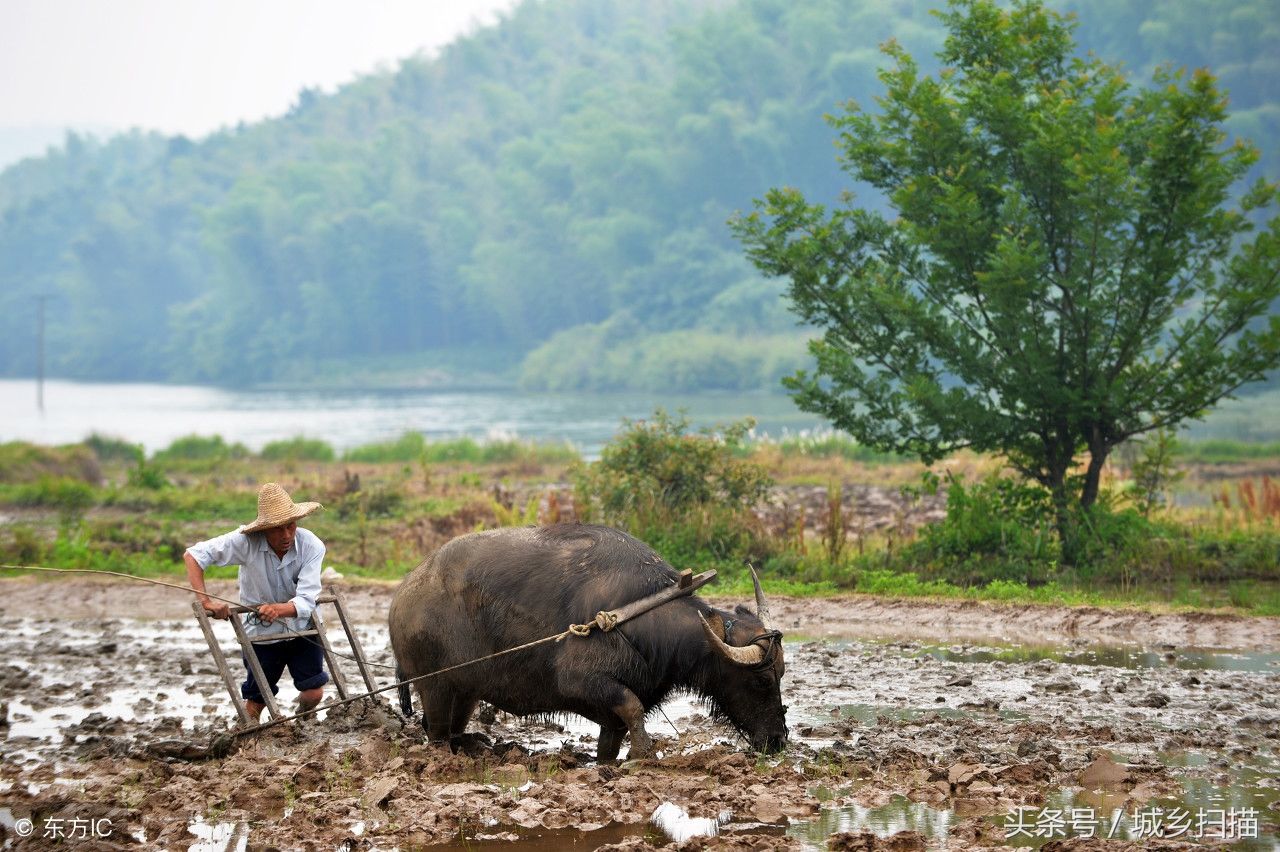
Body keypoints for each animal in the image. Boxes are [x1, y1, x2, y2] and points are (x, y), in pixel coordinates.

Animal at [386, 521, 788, 757]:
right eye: (762, 680)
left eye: (781, 676)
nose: (777, 740)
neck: (640, 616)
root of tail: (403, 595)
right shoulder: (582, 681)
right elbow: (632, 708)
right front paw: (645, 753)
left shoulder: (613, 714)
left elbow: (617, 731)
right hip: (435, 686)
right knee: (437, 734)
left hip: (465, 690)